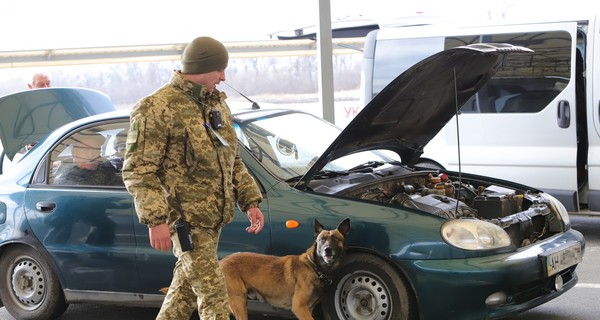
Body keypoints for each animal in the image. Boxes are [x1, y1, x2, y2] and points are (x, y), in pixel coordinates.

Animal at [221, 218, 352, 320]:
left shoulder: (307, 309)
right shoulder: (300, 308)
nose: (327, 250)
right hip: (239, 302)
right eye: (322, 240)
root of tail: (221, 261)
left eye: (335, 239)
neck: (314, 267)